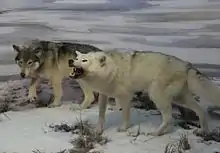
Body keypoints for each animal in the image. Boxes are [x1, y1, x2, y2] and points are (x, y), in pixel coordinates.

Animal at [68, 50, 220, 136]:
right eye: (76, 59)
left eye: (84, 60)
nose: (70, 61)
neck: (111, 71)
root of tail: (186, 64)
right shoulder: (104, 95)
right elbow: (101, 115)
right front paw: (98, 130)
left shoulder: (125, 96)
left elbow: (125, 115)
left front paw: (124, 128)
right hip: (180, 99)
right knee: (200, 110)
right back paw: (203, 130)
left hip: (157, 96)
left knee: (169, 118)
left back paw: (155, 133)